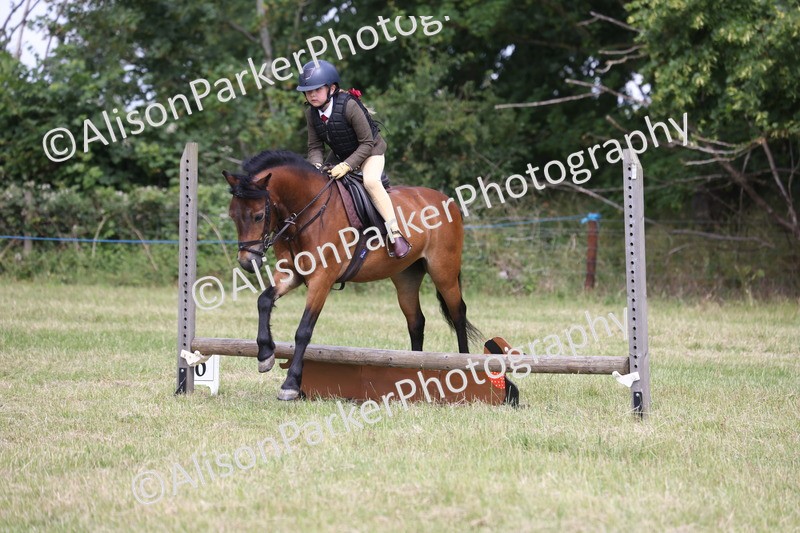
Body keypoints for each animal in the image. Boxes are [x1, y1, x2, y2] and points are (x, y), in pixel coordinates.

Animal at [223, 150, 481, 401]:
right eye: (233, 215)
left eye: (258, 216)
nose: (247, 262)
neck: (309, 212)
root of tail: (447, 200)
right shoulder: (292, 274)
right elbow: (264, 301)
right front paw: (265, 355)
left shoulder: (322, 280)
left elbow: (303, 331)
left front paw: (290, 385)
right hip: (406, 276)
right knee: (416, 321)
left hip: (443, 271)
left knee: (458, 314)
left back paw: (463, 369)